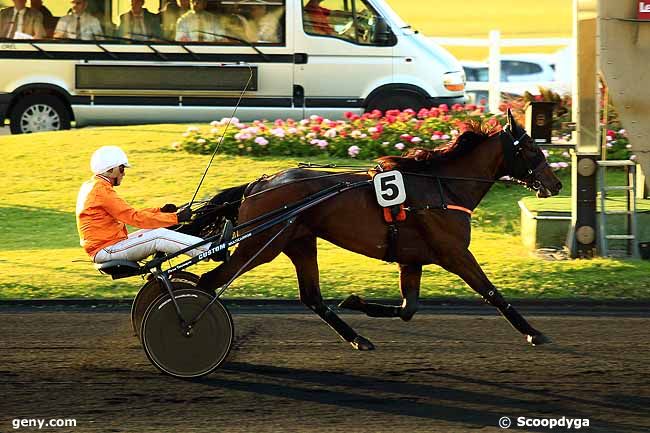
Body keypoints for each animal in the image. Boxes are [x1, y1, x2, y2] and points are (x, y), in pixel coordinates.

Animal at [182, 109, 560, 350]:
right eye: (530, 147)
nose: (555, 183)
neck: (443, 187)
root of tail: (258, 185)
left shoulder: (412, 260)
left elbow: (408, 309)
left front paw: (355, 301)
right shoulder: (454, 253)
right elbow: (491, 292)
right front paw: (534, 332)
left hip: (299, 241)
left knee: (312, 297)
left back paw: (357, 338)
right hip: (259, 245)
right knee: (209, 281)